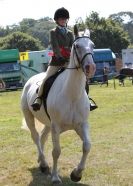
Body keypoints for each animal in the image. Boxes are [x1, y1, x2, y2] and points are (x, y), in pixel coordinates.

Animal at [20, 30, 95, 185]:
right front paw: (55, 177)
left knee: (42, 137)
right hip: (29, 117)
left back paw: (41, 161)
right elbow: (56, 151)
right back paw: (43, 164)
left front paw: (76, 174)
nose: (90, 68)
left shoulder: (81, 124)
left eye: (92, 45)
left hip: (48, 124)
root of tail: (30, 80)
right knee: (36, 137)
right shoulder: (56, 126)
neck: (72, 95)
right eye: (77, 46)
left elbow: (87, 146)